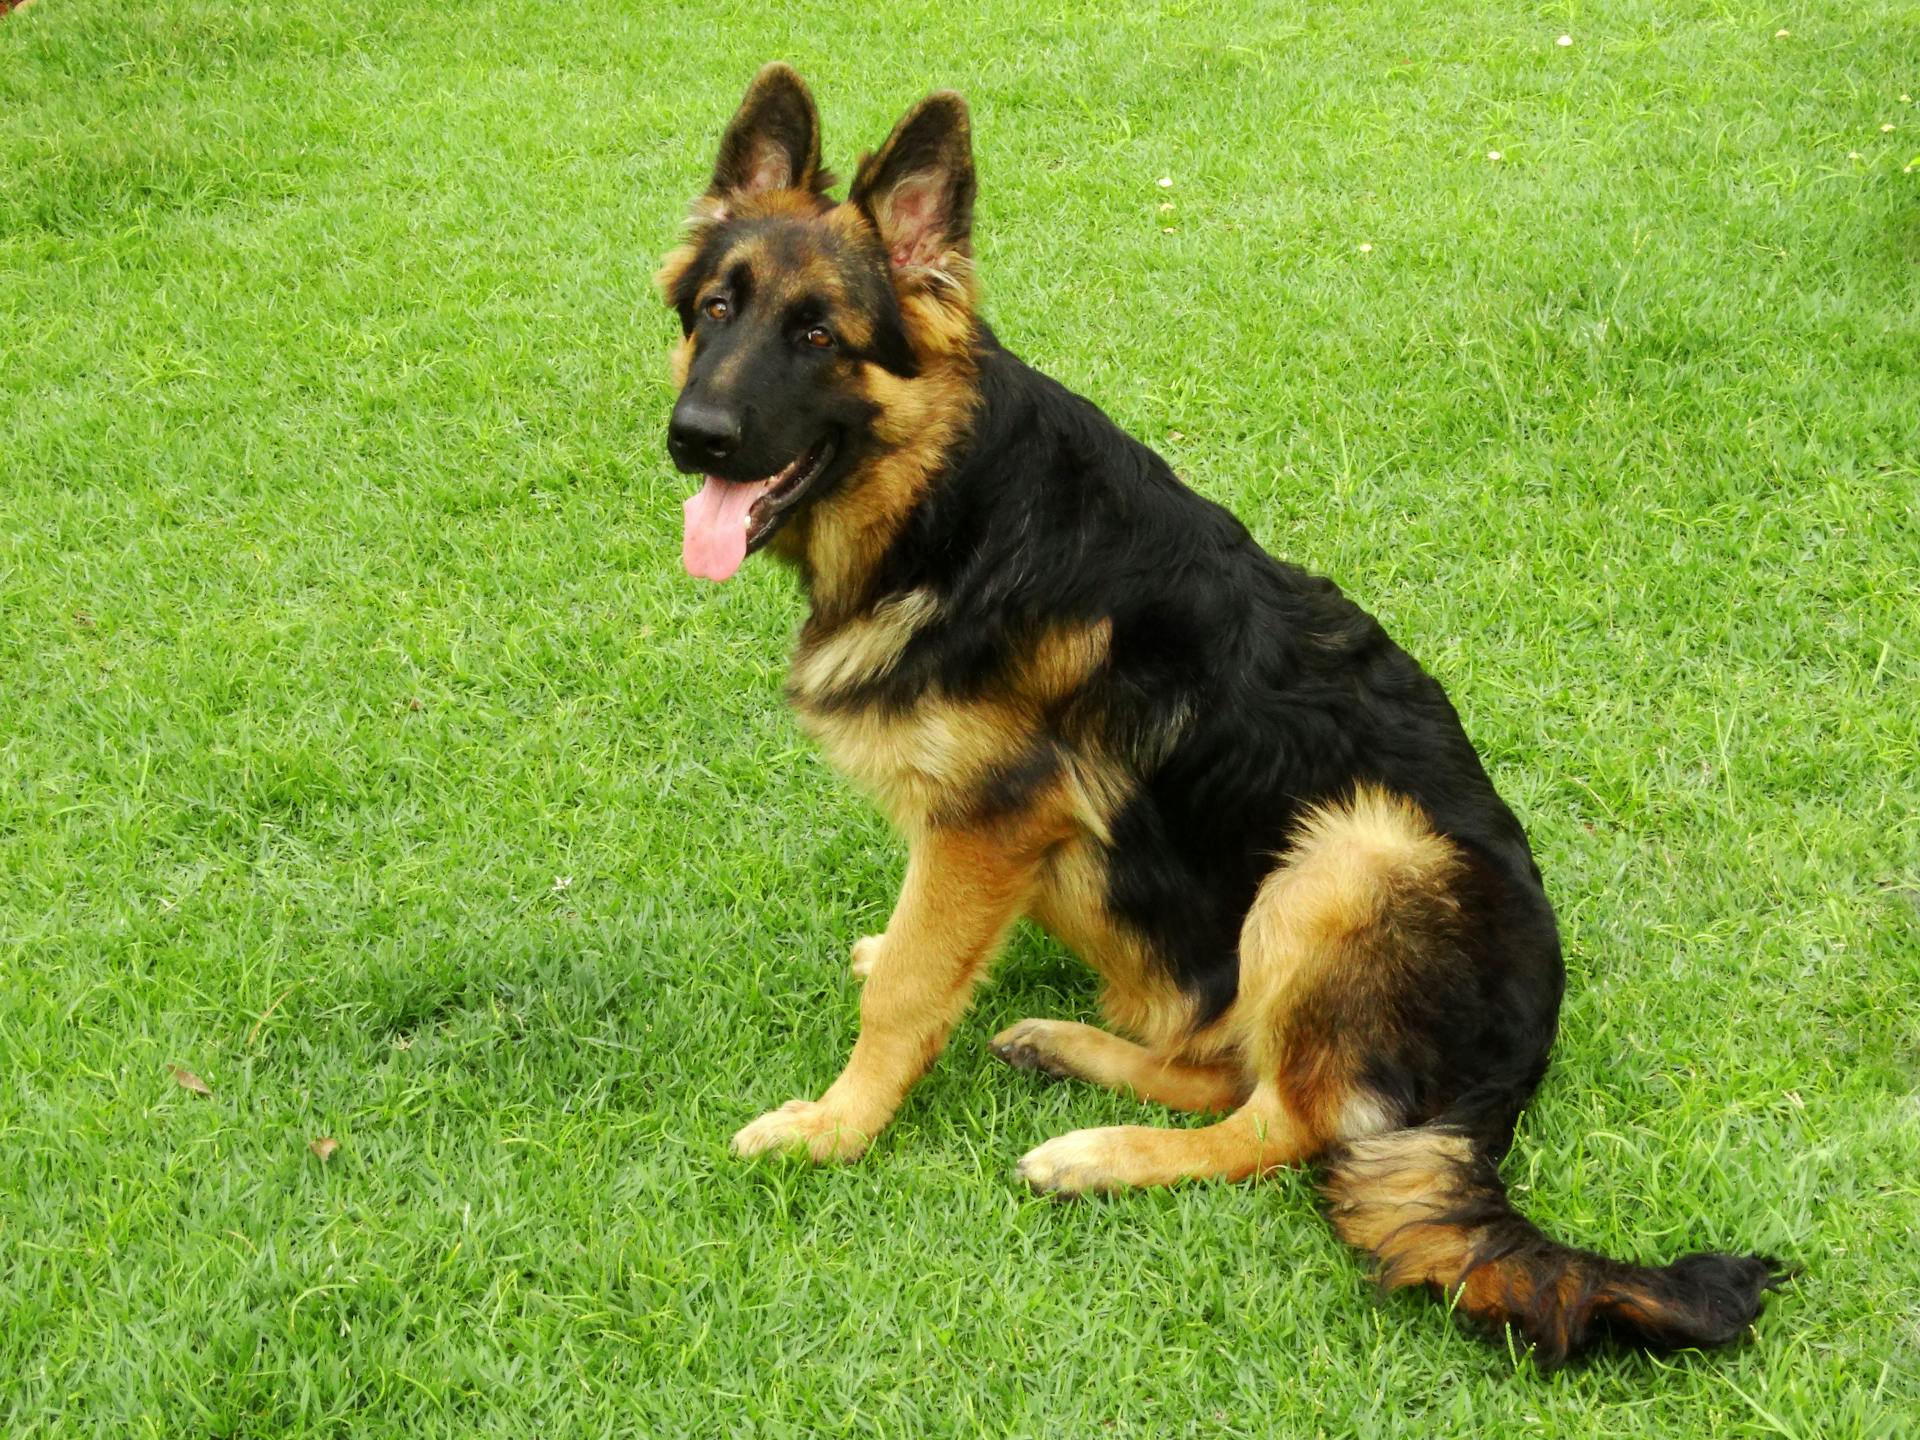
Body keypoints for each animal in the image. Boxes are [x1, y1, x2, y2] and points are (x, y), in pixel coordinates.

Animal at [664, 64, 1781, 1367]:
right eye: (716, 310)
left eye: (818, 336)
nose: (694, 439)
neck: (949, 500)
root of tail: (1511, 1071)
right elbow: (916, 949)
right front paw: (889, 965)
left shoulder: (991, 819)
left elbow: (905, 996)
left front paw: (838, 1126)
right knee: (1226, 1067)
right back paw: (1071, 1050)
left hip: (1352, 853)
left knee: (1282, 1122)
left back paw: (1099, 1155)